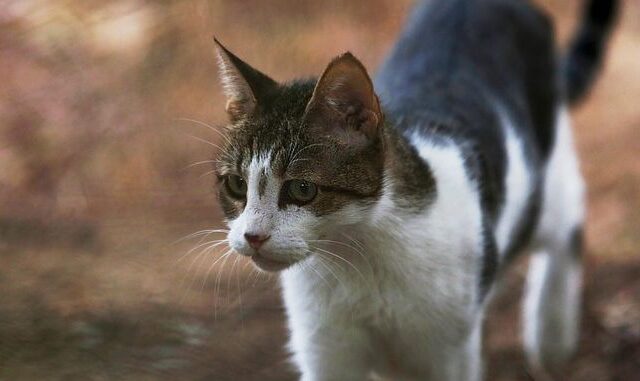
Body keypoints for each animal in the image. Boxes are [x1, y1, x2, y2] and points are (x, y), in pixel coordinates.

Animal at [208, 0, 616, 378]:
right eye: (236, 185)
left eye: (302, 189)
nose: (253, 236)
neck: (360, 255)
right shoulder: (326, 348)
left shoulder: (449, 354)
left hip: (545, 178)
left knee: (565, 219)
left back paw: (551, 333)